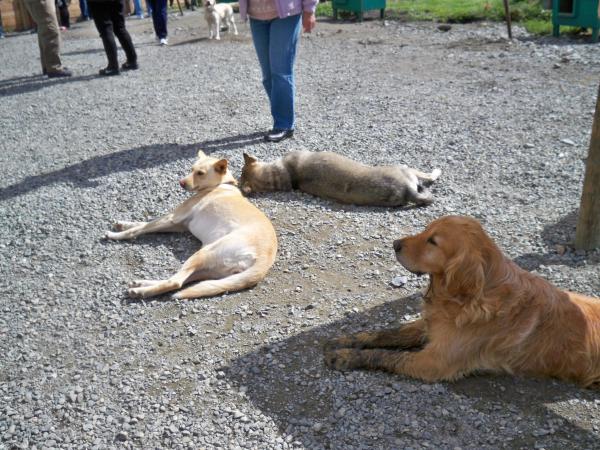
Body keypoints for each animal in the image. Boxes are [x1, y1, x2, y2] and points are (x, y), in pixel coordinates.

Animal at [105, 150, 276, 298]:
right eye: (191, 169)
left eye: (200, 173)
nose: (181, 183)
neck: (221, 184)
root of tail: (265, 259)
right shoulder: (178, 224)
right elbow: (143, 223)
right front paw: (123, 224)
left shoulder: (173, 218)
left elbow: (140, 228)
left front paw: (116, 235)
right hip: (211, 269)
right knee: (183, 280)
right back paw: (142, 284)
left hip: (203, 254)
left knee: (176, 282)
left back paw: (141, 291)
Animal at [326, 216, 600, 384]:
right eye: (426, 230)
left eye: (433, 241)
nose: (395, 244)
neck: (470, 298)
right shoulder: (431, 324)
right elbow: (386, 333)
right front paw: (349, 340)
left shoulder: (434, 362)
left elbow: (387, 356)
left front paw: (346, 356)